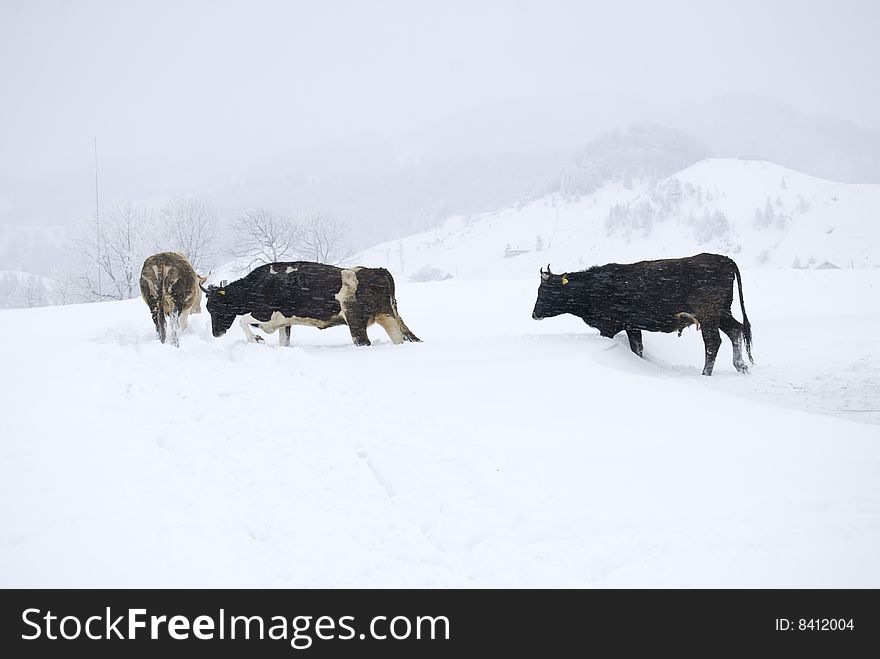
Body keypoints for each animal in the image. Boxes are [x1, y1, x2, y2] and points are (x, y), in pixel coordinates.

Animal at [202, 260, 420, 348]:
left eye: (215, 307)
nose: (216, 333)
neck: (257, 284)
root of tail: (377, 270)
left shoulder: (265, 316)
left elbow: (243, 321)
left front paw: (256, 339)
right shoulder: (284, 323)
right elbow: (284, 342)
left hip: (355, 320)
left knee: (363, 342)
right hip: (387, 315)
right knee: (399, 338)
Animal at [532, 253, 752, 376]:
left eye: (546, 291)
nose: (534, 314)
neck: (593, 287)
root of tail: (723, 259)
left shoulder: (608, 327)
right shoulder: (632, 327)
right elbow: (637, 350)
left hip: (708, 316)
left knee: (713, 342)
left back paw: (706, 374)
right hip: (723, 313)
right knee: (736, 330)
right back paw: (741, 366)